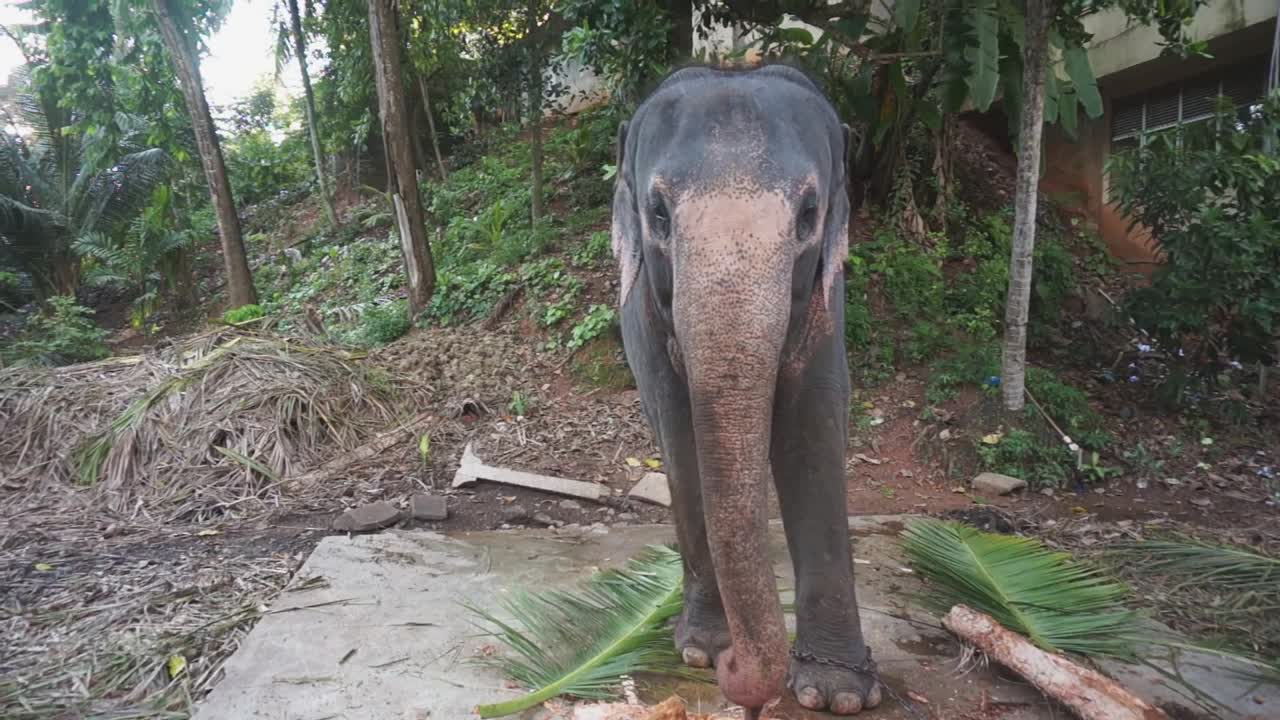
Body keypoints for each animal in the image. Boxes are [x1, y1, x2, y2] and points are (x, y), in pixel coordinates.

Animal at [612, 64, 881, 717]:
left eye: (809, 213)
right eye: (659, 213)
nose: (735, 669)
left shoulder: (827, 294)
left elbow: (813, 422)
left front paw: (836, 694)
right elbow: (681, 430)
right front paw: (702, 652)